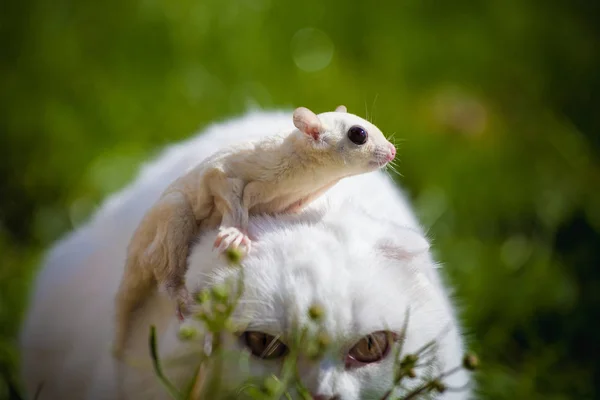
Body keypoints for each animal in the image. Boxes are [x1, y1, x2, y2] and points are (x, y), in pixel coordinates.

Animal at [18, 108, 474, 398]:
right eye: (357, 135)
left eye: (372, 127)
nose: (392, 152)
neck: (308, 178)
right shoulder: (232, 175)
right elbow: (228, 191)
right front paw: (237, 231)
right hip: (171, 220)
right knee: (166, 264)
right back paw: (178, 291)